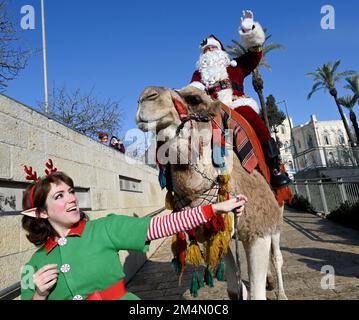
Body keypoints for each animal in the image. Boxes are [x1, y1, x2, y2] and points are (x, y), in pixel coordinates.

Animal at [136, 85, 288, 300]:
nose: (146, 97)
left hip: (276, 212)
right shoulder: (213, 233)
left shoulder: (259, 227)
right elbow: (235, 289)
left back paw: (281, 292)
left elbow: (256, 293)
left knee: (276, 256)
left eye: (195, 99)